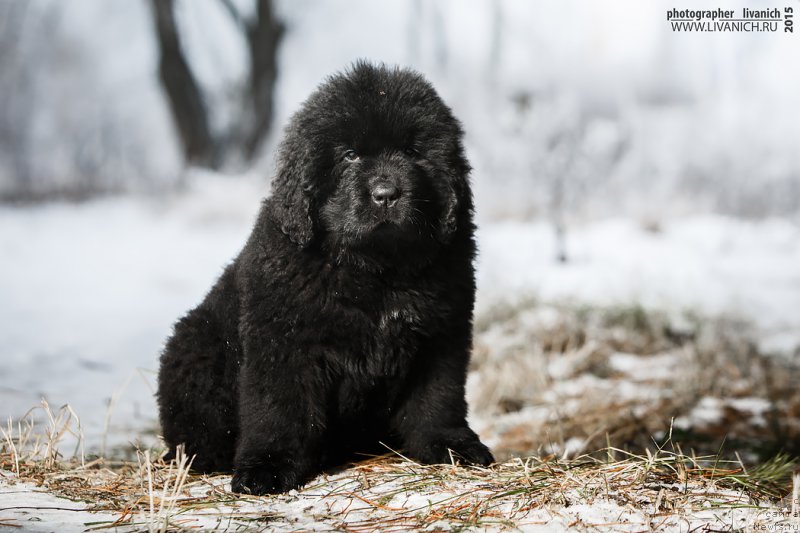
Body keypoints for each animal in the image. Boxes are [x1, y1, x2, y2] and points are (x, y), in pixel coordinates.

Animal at [158, 63, 494, 494]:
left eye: (411, 152)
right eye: (349, 155)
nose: (386, 193)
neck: (375, 268)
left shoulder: (439, 336)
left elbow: (438, 398)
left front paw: (451, 445)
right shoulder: (284, 341)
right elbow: (279, 408)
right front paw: (266, 467)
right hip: (195, 343)